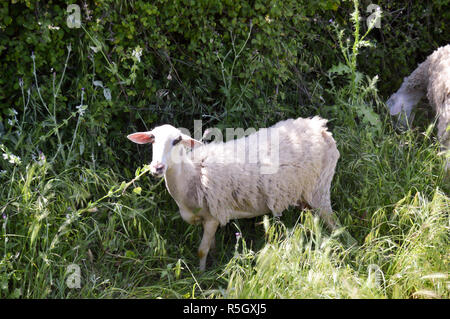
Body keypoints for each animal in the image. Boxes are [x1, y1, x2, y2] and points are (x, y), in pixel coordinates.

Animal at [127, 116, 342, 272]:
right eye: (152, 139)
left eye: (177, 140)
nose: (157, 168)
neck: (193, 175)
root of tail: (320, 128)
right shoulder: (207, 218)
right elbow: (211, 247)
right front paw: (212, 264)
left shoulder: (213, 216)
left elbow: (201, 250)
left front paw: (201, 275)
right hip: (304, 194)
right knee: (312, 220)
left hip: (320, 187)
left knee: (333, 222)